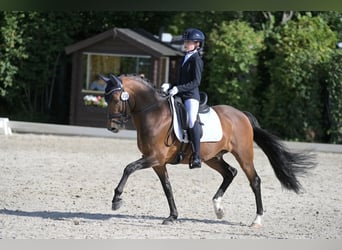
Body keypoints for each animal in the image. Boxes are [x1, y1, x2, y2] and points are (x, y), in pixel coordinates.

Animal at [101, 73, 316, 228]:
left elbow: (128, 168)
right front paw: (172, 216)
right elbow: (167, 187)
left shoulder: (154, 157)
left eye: (116, 98)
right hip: (212, 157)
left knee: (254, 180)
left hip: (244, 155)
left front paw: (116, 199)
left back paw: (256, 220)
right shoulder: (157, 162)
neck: (154, 114)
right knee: (230, 173)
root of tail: (242, 115)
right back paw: (218, 208)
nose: (112, 127)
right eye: (105, 98)